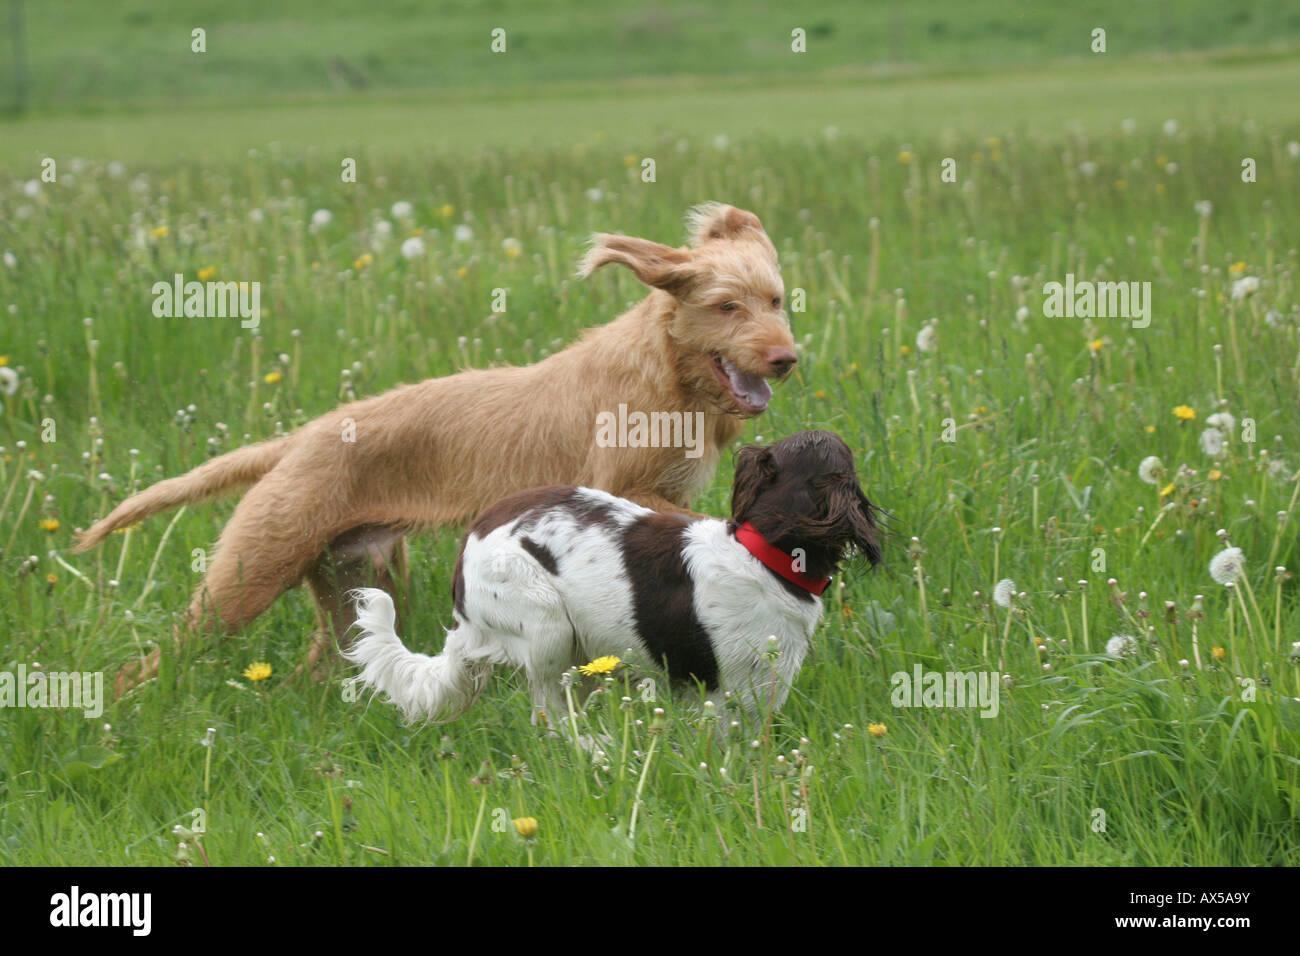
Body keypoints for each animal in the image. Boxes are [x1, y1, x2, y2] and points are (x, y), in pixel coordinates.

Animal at [78, 205, 800, 691]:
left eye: (775, 300)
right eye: (727, 306)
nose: (787, 358)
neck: (671, 374)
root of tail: (296, 441)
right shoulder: (621, 486)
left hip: (358, 578)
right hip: (247, 575)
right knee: (157, 659)